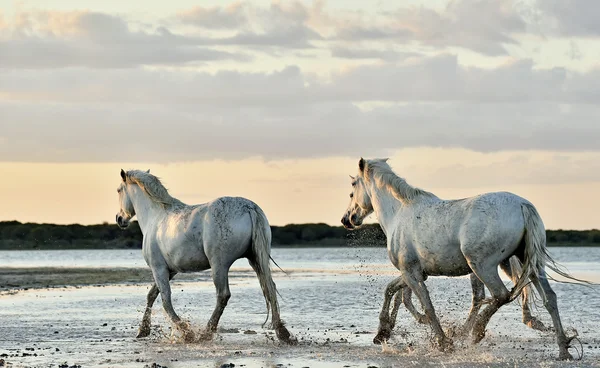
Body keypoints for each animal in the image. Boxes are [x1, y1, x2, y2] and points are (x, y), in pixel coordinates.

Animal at [114, 168, 296, 344]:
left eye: (118, 190)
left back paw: (206, 333)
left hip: (219, 265)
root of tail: (249, 208)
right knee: (269, 288)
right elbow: (152, 295)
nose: (119, 218)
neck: (156, 216)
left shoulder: (158, 269)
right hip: (256, 260)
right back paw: (282, 332)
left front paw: (186, 333)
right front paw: (143, 331)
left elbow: (165, 300)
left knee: (223, 295)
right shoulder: (170, 270)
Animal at [342, 157, 584, 360]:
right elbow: (392, 290)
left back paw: (476, 332)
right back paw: (563, 350)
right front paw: (382, 333)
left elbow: (425, 305)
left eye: (352, 188)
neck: (399, 213)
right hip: (529, 264)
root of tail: (522, 205)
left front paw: (444, 343)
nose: (347, 219)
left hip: (482, 266)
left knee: (500, 295)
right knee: (549, 298)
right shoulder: (415, 273)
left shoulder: (411, 273)